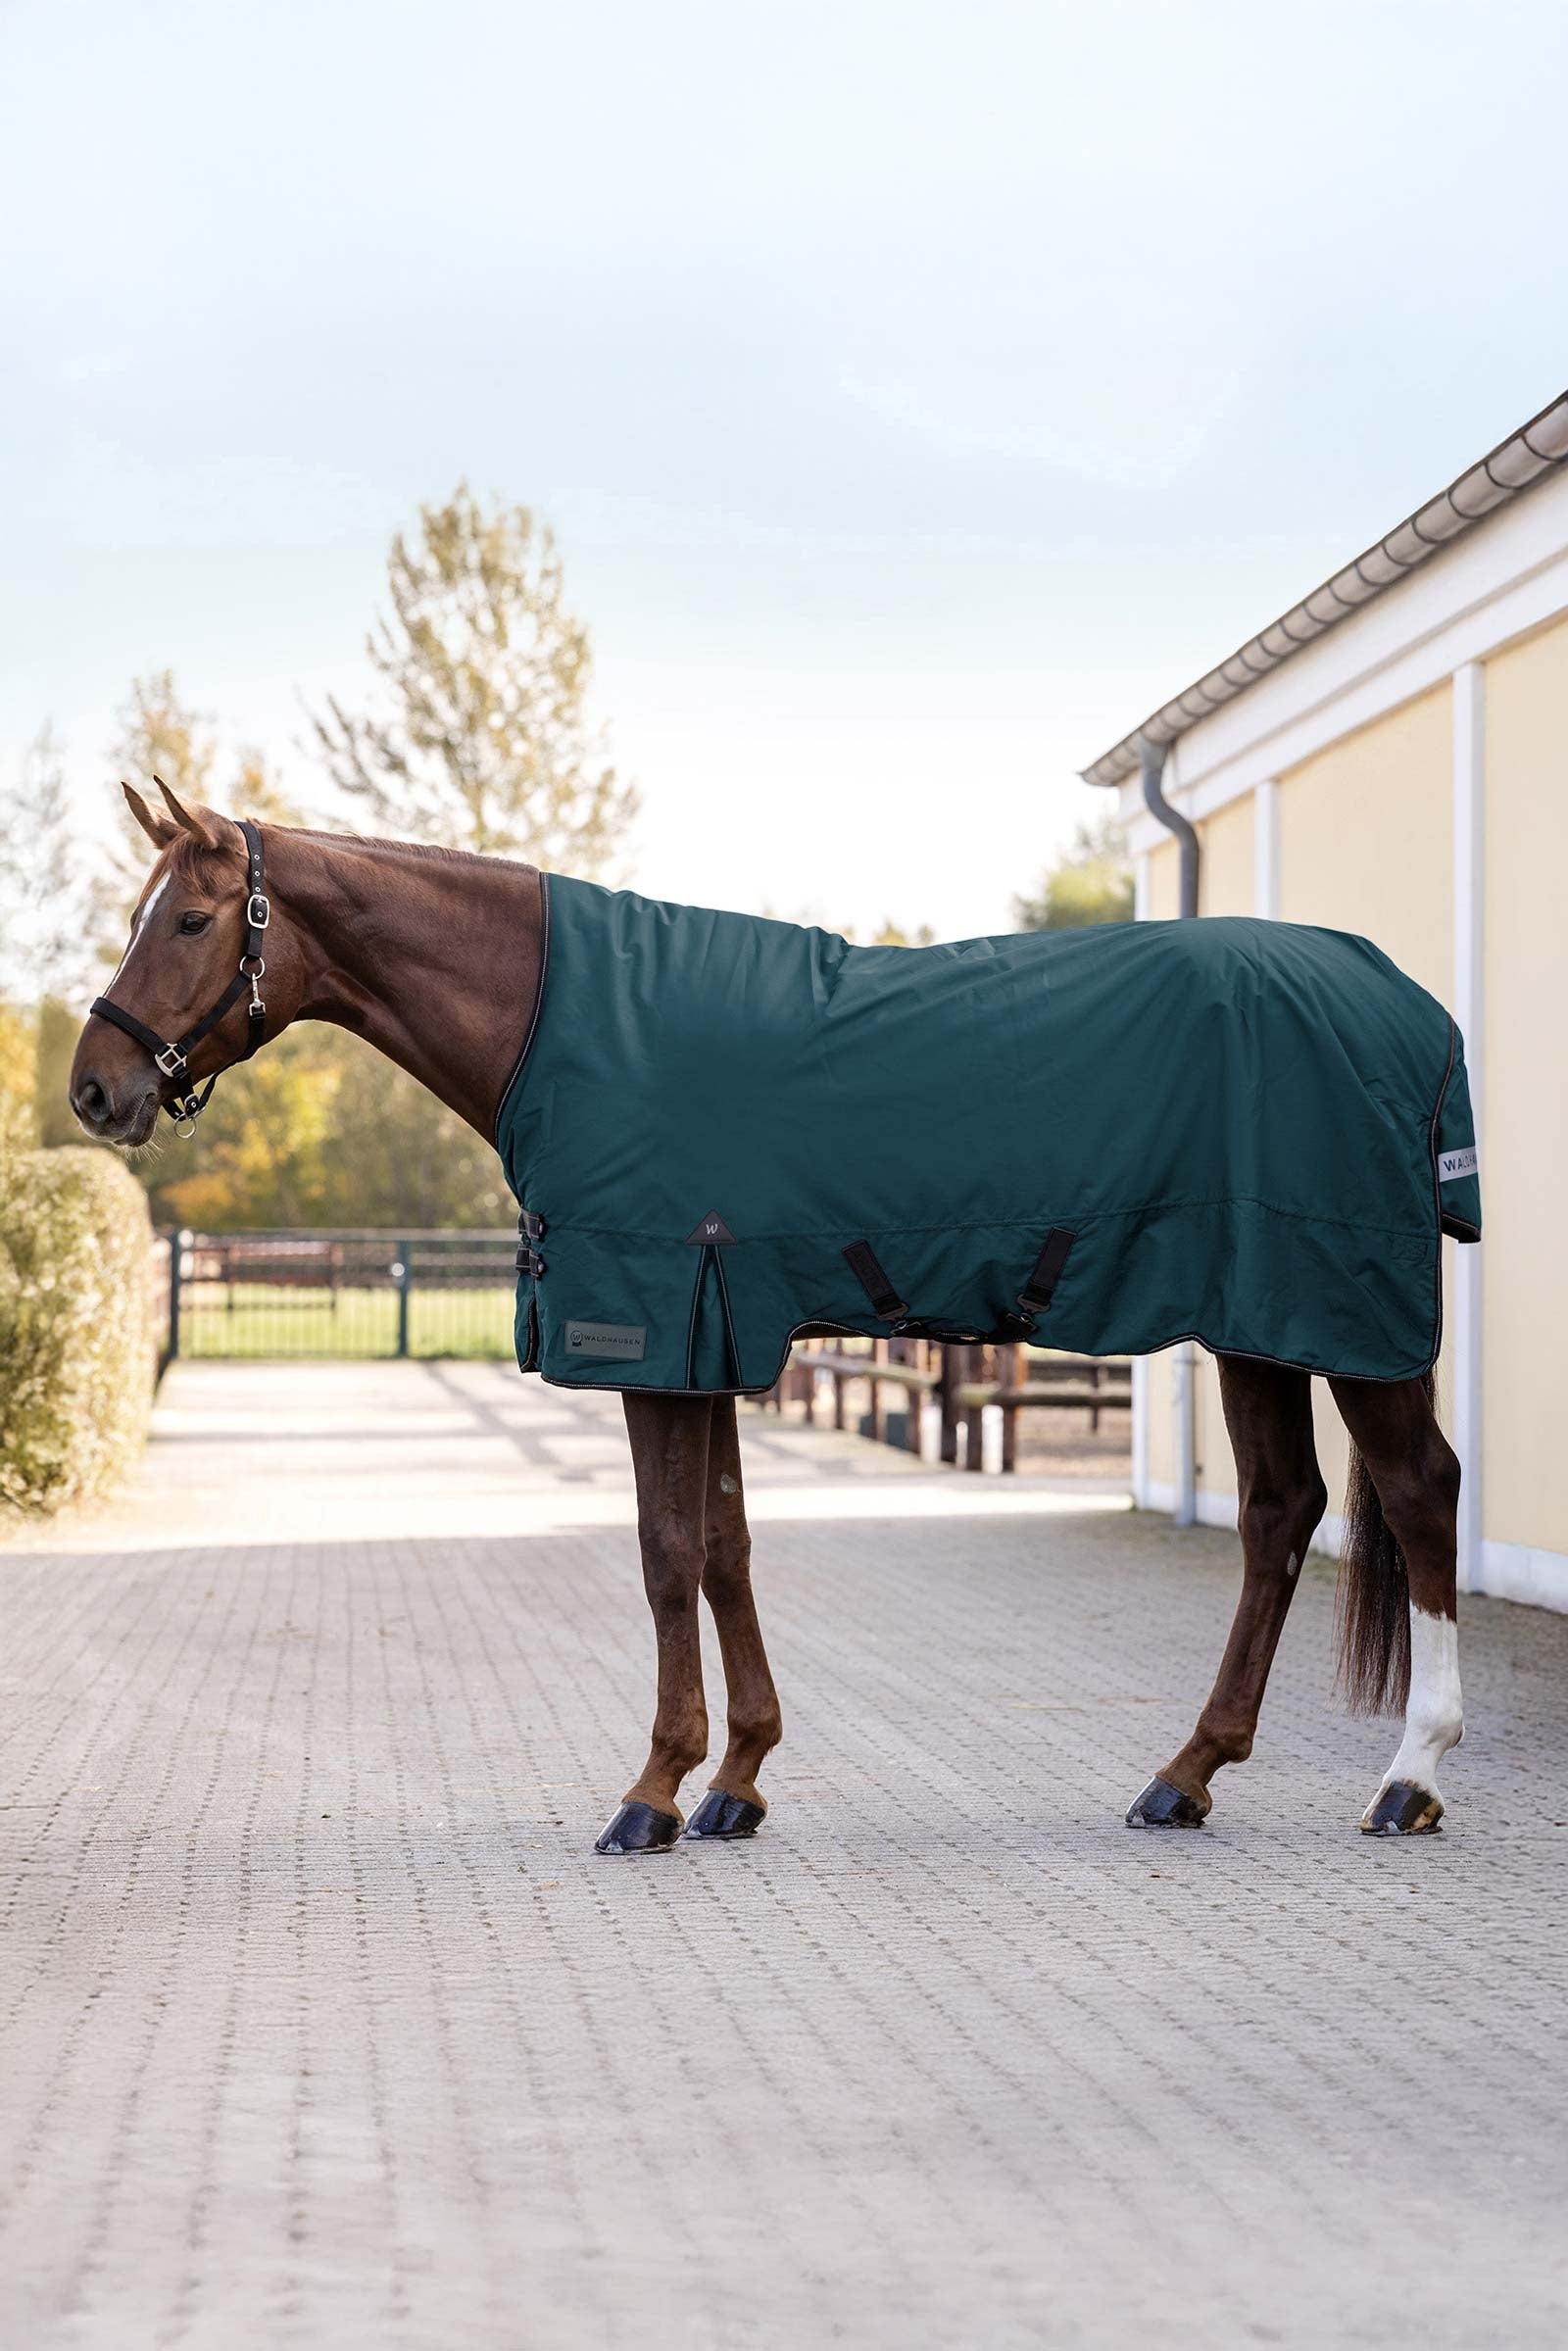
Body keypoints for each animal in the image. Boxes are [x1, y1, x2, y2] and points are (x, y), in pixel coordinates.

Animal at [70, 781, 1467, 1850]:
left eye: (188, 918)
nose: (95, 1087)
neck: (561, 1020)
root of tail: (1402, 1000)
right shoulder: (718, 1336)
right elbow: (729, 1547)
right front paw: (735, 1780)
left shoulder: (653, 1337)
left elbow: (664, 1552)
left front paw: (651, 1791)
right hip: (1262, 1321)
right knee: (1279, 1513)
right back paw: (1186, 1773)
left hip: (1346, 1317)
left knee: (1418, 1491)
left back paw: (1409, 1775)